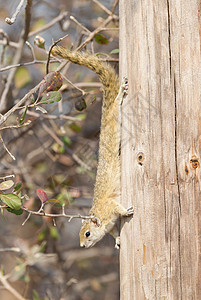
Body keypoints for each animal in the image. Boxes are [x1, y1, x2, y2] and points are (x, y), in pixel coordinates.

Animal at [51, 46, 133, 248]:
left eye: (87, 233)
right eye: (81, 234)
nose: (82, 245)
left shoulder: (109, 207)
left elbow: (118, 208)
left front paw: (126, 212)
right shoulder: (108, 224)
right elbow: (113, 231)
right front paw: (117, 240)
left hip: (113, 119)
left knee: (115, 108)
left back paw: (120, 94)